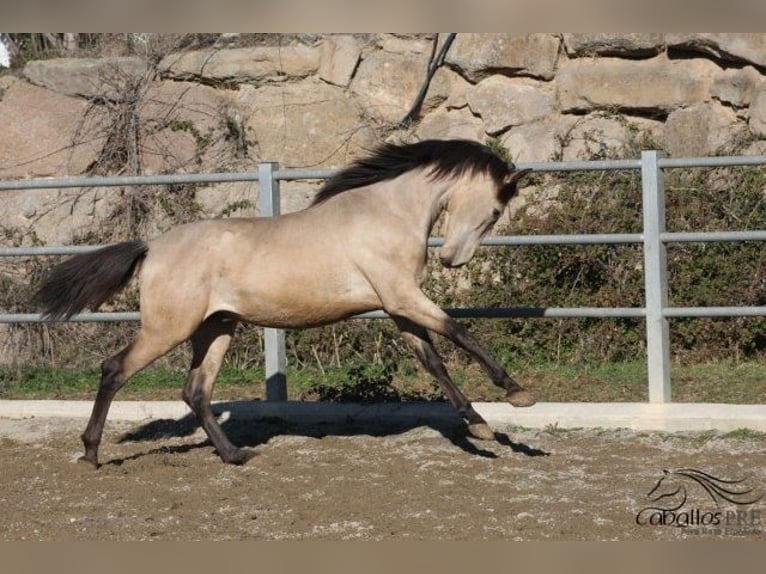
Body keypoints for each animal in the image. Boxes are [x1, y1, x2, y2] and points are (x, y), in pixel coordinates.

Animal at [36, 140, 536, 468]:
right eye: (496, 211)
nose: (453, 260)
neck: (385, 214)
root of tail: (152, 246)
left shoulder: (398, 305)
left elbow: (435, 362)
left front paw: (479, 425)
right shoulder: (403, 296)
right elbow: (460, 332)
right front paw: (517, 394)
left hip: (216, 327)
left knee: (196, 391)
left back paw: (235, 455)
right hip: (168, 329)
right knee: (114, 369)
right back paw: (91, 453)